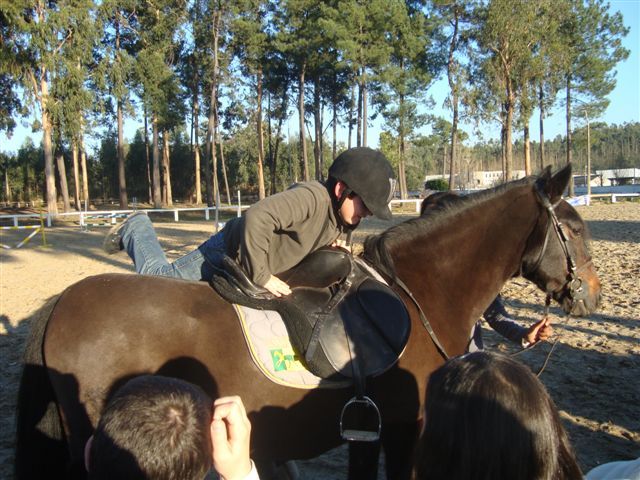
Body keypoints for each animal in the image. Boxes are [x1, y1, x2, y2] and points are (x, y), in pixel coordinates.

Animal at [15, 165, 601, 480]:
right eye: (573, 228)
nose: (592, 296)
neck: (418, 295)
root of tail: (59, 304)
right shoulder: (405, 428)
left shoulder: (373, 432)